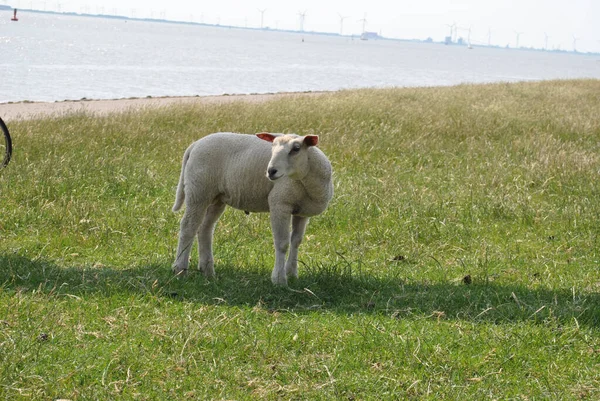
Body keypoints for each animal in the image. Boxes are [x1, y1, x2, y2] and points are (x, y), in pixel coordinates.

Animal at [171, 131, 336, 284]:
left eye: (296, 149)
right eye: (272, 147)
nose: (271, 171)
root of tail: (195, 144)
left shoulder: (301, 212)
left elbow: (296, 241)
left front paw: (292, 273)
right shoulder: (279, 203)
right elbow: (282, 244)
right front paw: (279, 279)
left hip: (217, 197)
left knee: (205, 229)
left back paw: (208, 271)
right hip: (199, 192)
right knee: (188, 227)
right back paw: (180, 269)